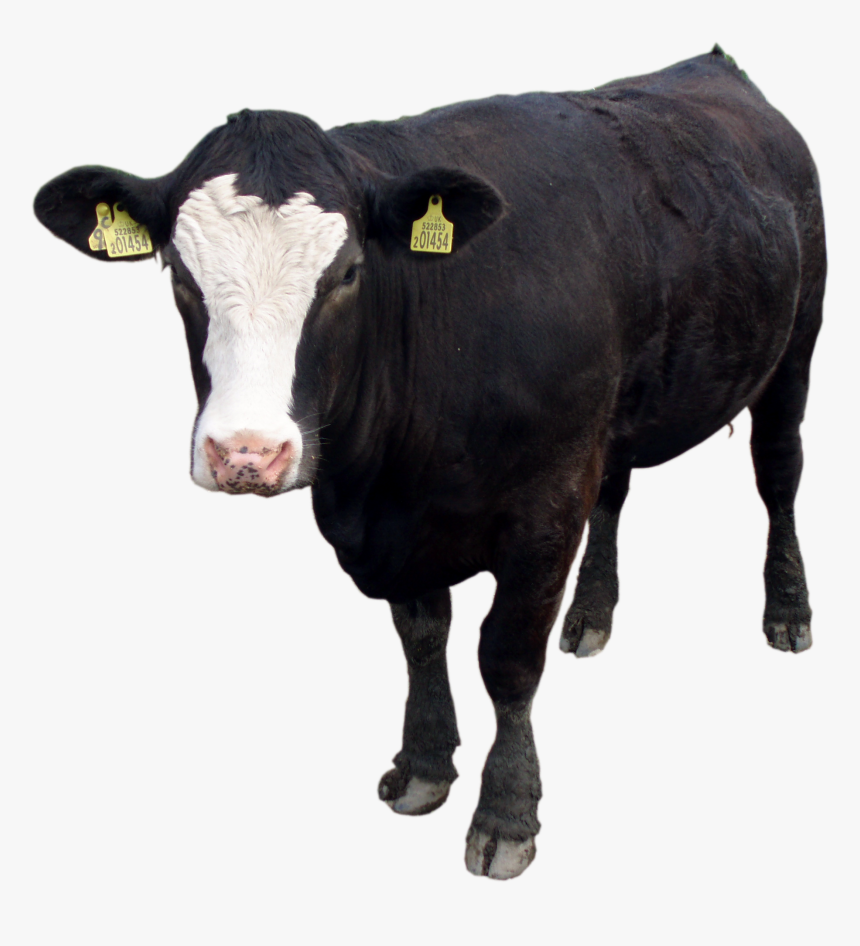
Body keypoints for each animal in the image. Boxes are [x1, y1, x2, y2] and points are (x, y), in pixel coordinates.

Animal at [34, 46, 825, 880]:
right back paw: (591, 614)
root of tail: (711, 65)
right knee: (616, 490)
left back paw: (787, 611)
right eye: (180, 276)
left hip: (797, 343)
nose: (246, 451)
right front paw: (423, 766)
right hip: (623, 412)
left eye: (349, 272)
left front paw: (506, 813)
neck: (382, 479)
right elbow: (422, 637)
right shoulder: (404, 525)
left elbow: (505, 658)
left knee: (779, 474)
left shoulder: (545, 505)